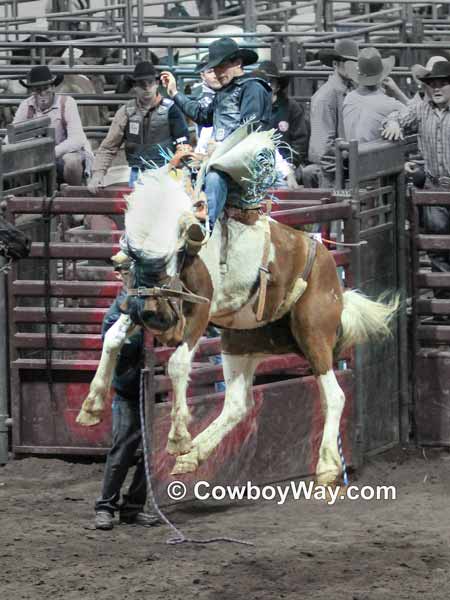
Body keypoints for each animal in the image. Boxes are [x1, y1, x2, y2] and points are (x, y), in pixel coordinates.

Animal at [76, 146, 398, 488]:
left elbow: (177, 365)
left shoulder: (200, 311)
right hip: (240, 341)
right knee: (237, 405)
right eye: (133, 267)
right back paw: (192, 456)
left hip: (313, 335)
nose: (158, 321)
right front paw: (92, 406)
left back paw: (326, 466)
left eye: (169, 261)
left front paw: (177, 437)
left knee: (334, 396)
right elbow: (113, 338)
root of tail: (329, 267)